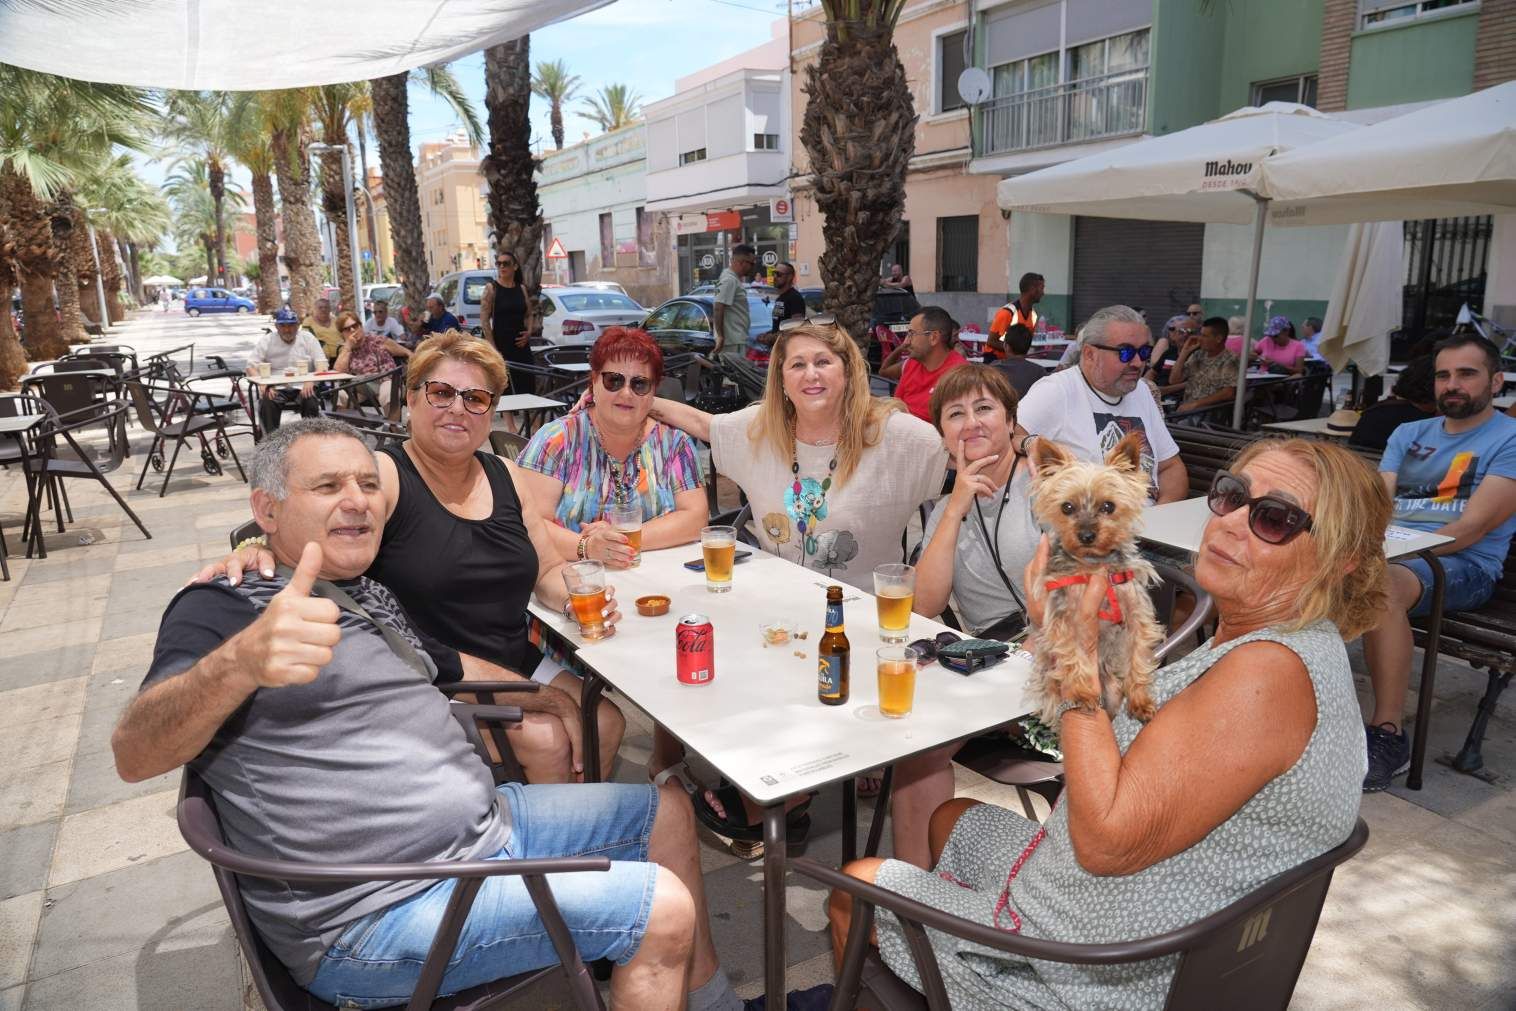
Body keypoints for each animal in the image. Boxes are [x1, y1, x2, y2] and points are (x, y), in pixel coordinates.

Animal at [1024, 430, 1164, 724]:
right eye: (1066, 507)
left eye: (1108, 506)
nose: (1086, 535)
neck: (1092, 565)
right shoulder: (1062, 615)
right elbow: (1072, 653)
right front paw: (1081, 693)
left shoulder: (1137, 613)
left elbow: (1138, 655)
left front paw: (1140, 700)